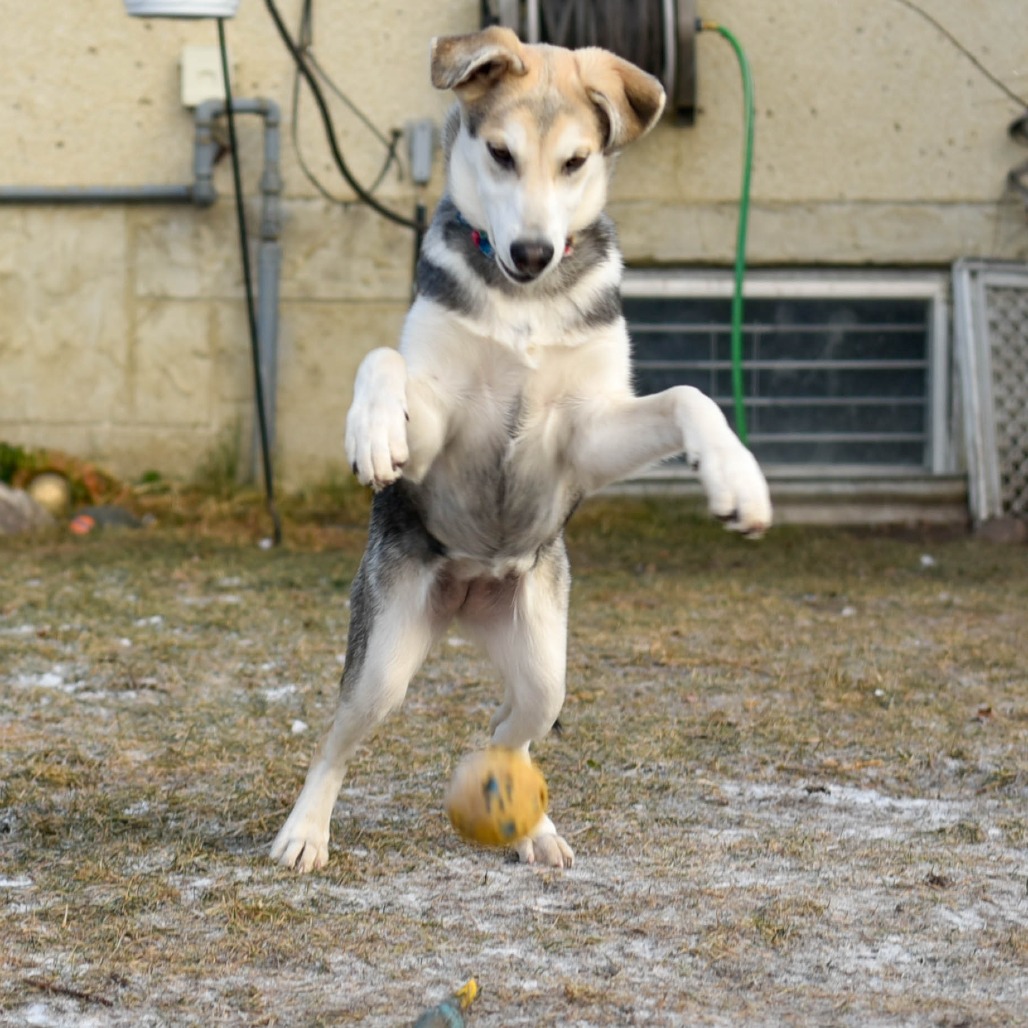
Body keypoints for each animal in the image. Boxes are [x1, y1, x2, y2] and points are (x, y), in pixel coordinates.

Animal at [271, 26, 772, 872]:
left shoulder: (585, 435)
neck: (525, 302)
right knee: (337, 741)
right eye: (500, 154)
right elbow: (385, 357)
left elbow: (688, 397)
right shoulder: (441, 428)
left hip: (544, 654)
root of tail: (469, 590)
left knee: (515, 724)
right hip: (386, 657)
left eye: (574, 162)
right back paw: (306, 832)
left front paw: (736, 479)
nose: (534, 252)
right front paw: (372, 430)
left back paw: (524, 813)